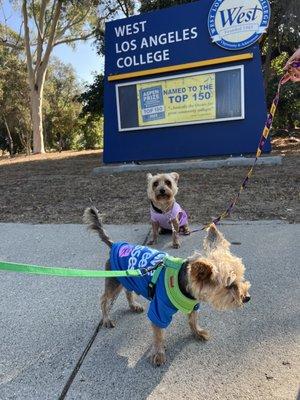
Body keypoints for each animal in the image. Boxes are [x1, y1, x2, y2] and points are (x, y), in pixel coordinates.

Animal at [82, 208, 251, 368]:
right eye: (229, 285)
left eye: (241, 276)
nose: (247, 298)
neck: (184, 284)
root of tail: (114, 245)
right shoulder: (158, 311)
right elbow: (158, 335)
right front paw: (158, 353)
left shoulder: (193, 305)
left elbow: (193, 320)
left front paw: (197, 332)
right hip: (114, 281)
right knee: (104, 299)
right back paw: (106, 319)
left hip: (128, 278)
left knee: (128, 291)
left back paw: (133, 306)